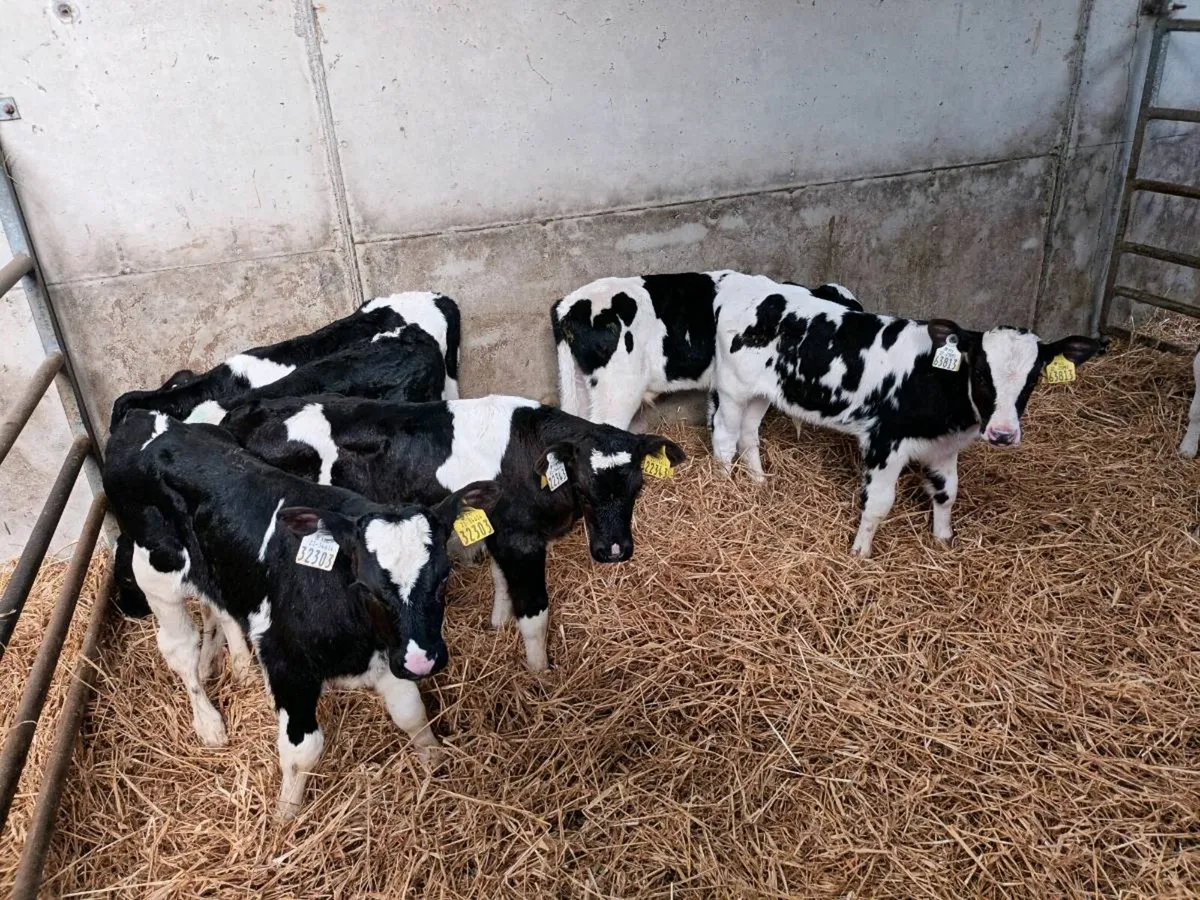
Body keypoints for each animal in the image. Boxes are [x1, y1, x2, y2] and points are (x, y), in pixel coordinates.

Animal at [104, 410, 498, 818]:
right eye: (366, 586)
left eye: (444, 575)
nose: (423, 660)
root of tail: (148, 418)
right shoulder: (287, 664)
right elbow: (303, 749)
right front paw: (285, 816)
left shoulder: (389, 652)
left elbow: (411, 712)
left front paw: (433, 761)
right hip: (156, 574)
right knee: (180, 650)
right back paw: (209, 723)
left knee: (221, 608)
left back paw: (239, 665)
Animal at [221, 394, 686, 672]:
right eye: (585, 489)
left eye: (637, 487)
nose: (615, 550)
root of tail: (247, 411)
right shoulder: (521, 539)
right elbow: (535, 613)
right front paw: (541, 676)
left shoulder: (500, 531)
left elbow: (500, 581)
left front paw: (497, 624)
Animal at [710, 273, 1102, 557]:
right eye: (978, 373)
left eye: (1033, 378)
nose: (1003, 433)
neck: (933, 380)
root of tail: (746, 286)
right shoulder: (885, 443)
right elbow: (879, 504)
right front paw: (860, 552)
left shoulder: (944, 446)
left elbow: (947, 492)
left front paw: (943, 539)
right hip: (732, 389)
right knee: (725, 440)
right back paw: (725, 488)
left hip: (762, 393)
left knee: (749, 435)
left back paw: (759, 481)